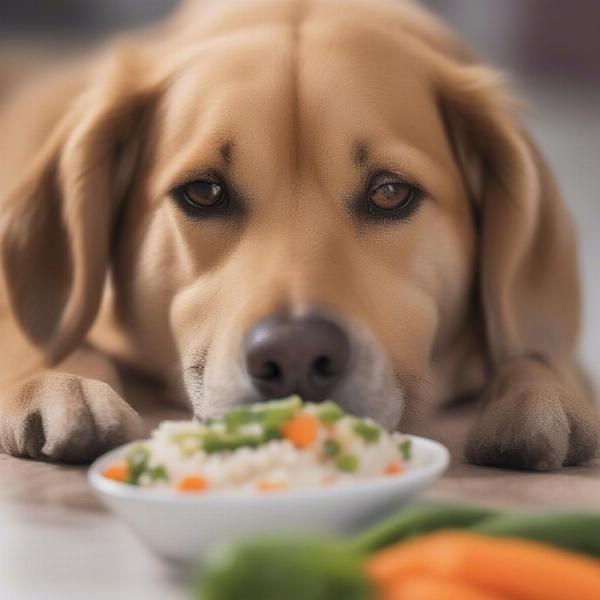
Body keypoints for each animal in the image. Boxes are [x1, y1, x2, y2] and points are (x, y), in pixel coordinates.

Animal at [0, 0, 596, 468]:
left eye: (390, 192)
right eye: (204, 192)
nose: (296, 357)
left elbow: (535, 351)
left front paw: (543, 395)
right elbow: (46, 337)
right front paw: (63, 382)